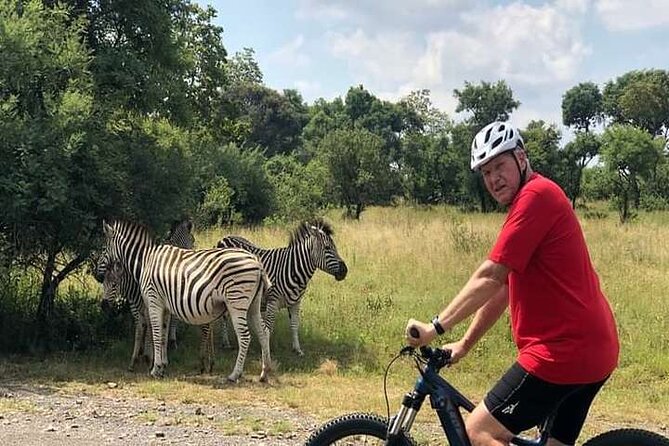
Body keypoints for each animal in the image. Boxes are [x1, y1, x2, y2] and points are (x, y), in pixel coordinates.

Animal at [100, 218, 272, 382]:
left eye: (103, 248)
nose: (98, 274)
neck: (146, 260)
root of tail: (257, 262)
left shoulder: (154, 301)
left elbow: (156, 333)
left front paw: (155, 369)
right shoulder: (165, 306)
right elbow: (163, 334)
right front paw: (162, 366)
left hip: (237, 303)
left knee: (245, 337)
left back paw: (234, 374)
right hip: (253, 305)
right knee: (263, 332)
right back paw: (264, 372)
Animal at [217, 217, 348, 356]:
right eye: (328, 248)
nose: (345, 271)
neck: (293, 269)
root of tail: (225, 237)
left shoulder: (296, 302)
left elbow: (295, 325)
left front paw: (297, 349)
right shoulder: (272, 301)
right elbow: (268, 328)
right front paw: (266, 351)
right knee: (224, 317)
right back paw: (225, 343)